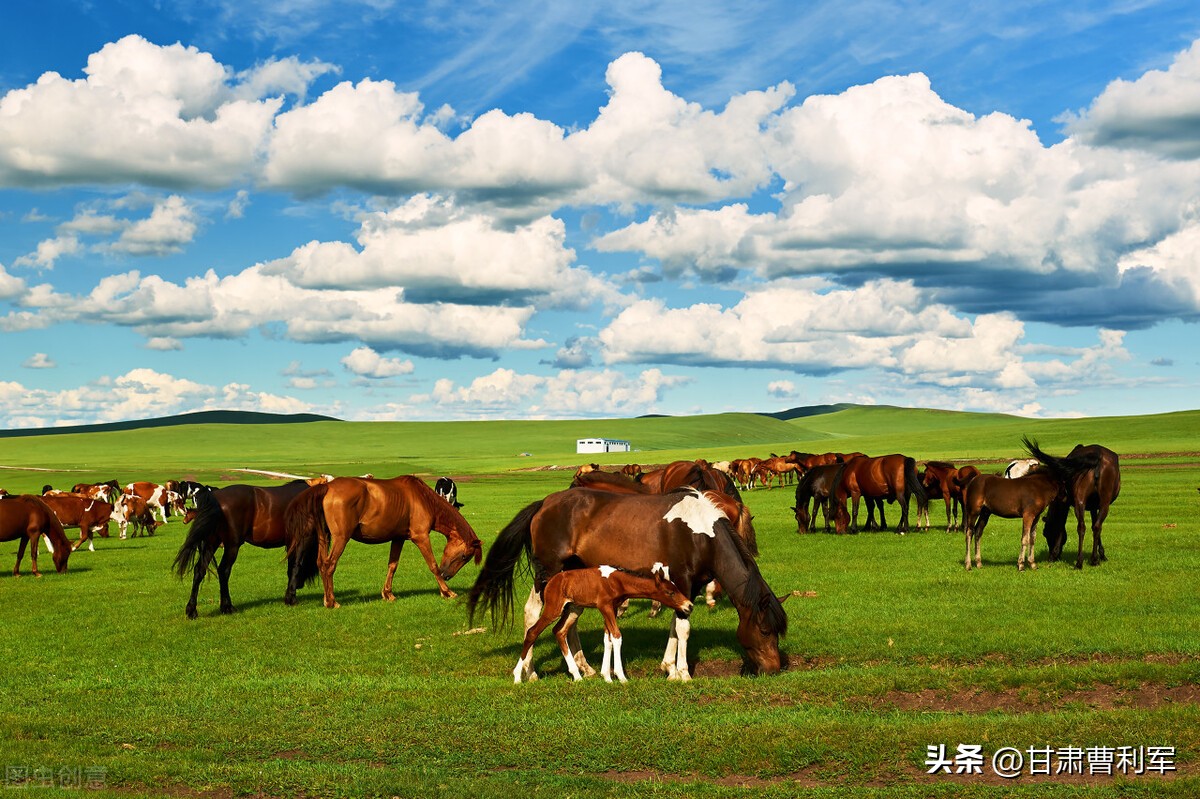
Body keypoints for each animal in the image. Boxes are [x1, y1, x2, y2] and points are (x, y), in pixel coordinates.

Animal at [175, 479, 316, 614]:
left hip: (211, 544)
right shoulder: (302, 538)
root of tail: (215, 497)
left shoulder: (290, 542)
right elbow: (296, 565)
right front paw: (291, 598)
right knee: (223, 571)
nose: (300, 584)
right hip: (232, 546)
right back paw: (227, 607)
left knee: (199, 570)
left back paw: (192, 609)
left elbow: (290, 566)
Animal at [285, 472, 482, 604]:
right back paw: (332, 602)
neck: (423, 500)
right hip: (341, 538)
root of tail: (327, 486)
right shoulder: (421, 538)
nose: (447, 576)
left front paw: (388, 593)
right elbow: (432, 565)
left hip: (324, 537)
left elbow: (392, 565)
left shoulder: (398, 538)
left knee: (321, 563)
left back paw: (327, 599)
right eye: (464, 556)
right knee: (329, 565)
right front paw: (447, 591)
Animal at [513, 559, 696, 686]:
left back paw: (577, 676)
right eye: (670, 592)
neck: (618, 581)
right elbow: (616, 636)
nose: (689, 606)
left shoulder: (612, 608)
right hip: (554, 608)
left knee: (559, 631)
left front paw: (607, 676)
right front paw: (621, 677)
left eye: (676, 588)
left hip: (573, 609)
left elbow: (608, 639)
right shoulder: (605, 606)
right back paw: (517, 676)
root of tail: (550, 582)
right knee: (533, 632)